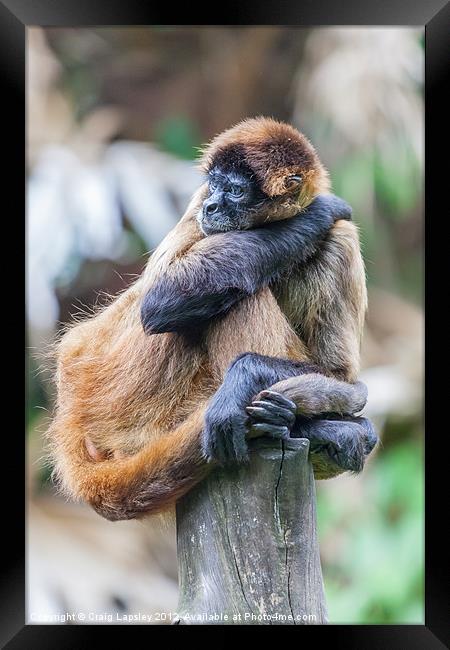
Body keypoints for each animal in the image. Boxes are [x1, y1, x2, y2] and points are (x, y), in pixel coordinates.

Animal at [46, 117, 376, 520]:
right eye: (215, 184)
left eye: (235, 190)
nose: (213, 205)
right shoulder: (195, 206)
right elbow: (160, 298)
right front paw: (317, 215)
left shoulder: (341, 239)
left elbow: (338, 374)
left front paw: (248, 375)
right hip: (122, 391)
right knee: (230, 298)